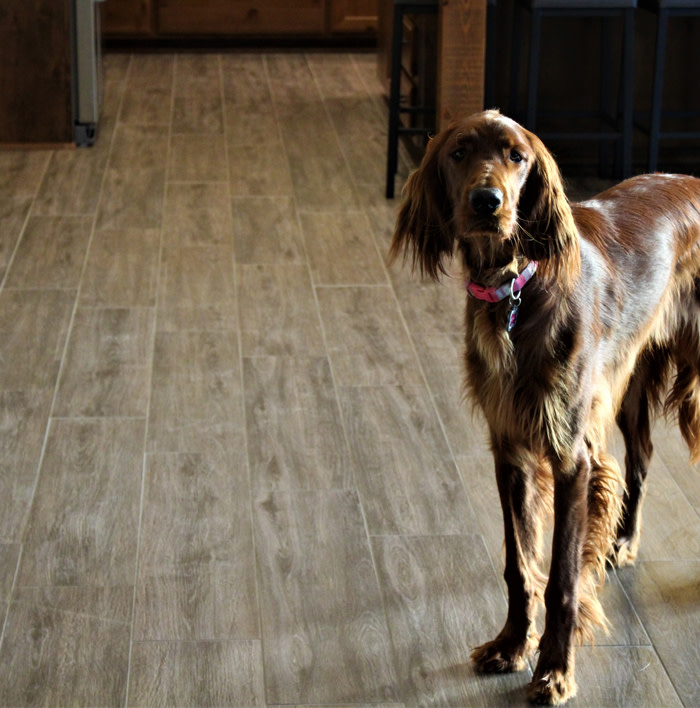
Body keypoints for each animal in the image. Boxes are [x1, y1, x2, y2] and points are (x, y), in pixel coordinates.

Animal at [388, 109, 700, 704]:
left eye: (517, 156)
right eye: (459, 152)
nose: (487, 201)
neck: (514, 288)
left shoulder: (571, 457)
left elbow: (560, 579)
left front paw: (555, 669)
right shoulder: (509, 448)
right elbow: (518, 564)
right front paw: (512, 645)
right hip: (629, 377)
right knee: (643, 456)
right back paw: (623, 541)